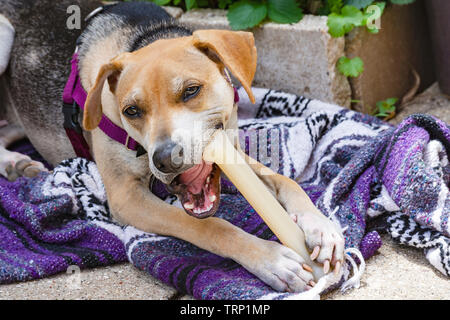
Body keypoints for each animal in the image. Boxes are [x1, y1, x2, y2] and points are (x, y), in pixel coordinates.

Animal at [0, 0, 344, 292]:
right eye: (131, 111)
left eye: (191, 90)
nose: (166, 158)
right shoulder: (126, 197)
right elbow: (210, 226)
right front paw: (270, 258)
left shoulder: (231, 150)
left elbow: (286, 181)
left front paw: (321, 227)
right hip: (4, 34)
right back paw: (13, 163)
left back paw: (16, 162)